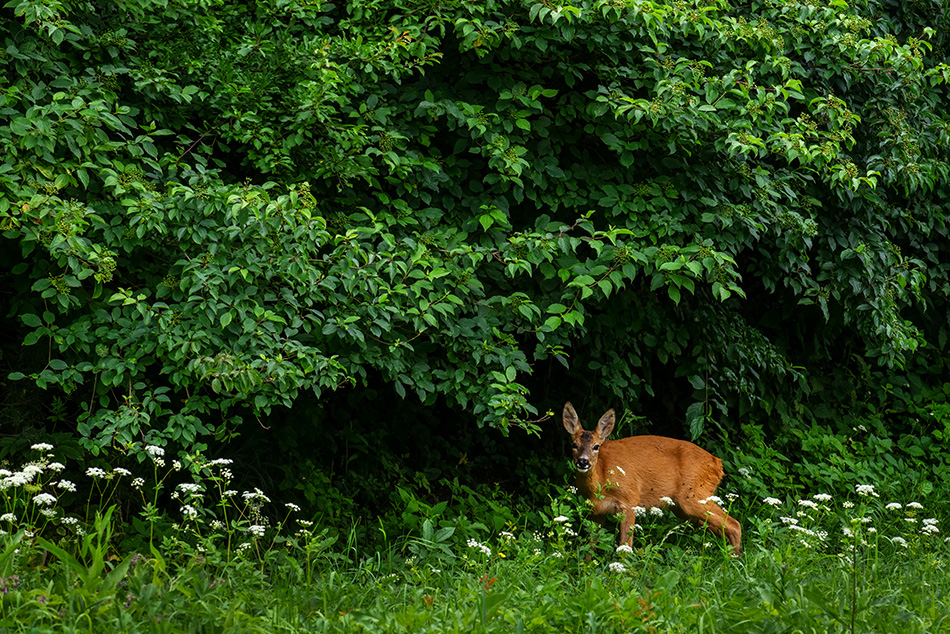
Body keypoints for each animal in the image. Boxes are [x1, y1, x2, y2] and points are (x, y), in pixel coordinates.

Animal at [564, 400, 744, 552]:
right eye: (574, 444)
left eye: (596, 446)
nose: (583, 462)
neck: (601, 480)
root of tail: (718, 464)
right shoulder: (596, 511)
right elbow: (590, 547)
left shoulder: (630, 500)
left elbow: (625, 545)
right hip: (685, 507)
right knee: (721, 528)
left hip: (693, 496)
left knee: (734, 524)